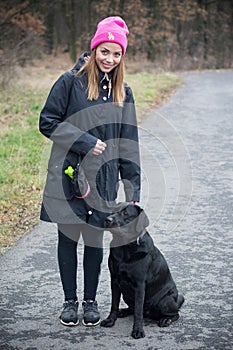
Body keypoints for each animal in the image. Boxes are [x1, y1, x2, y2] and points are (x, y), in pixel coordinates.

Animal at [101, 204, 185, 338]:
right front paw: (110, 320)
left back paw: (166, 320)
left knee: (176, 313)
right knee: (131, 308)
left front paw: (138, 330)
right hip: (126, 295)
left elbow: (138, 311)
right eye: (112, 211)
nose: (107, 220)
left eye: (125, 213)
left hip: (165, 301)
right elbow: (114, 304)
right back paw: (122, 311)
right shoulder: (114, 280)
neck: (125, 247)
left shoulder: (139, 285)